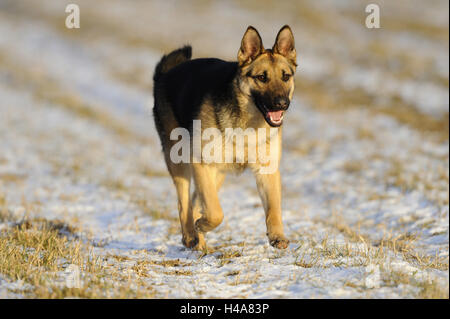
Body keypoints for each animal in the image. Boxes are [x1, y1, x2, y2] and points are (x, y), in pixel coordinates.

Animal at [153, 25, 298, 250]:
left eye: (285, 76)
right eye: (262, 77)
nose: (282, 104)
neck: (247, 124)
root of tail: (166, 74)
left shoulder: (267, 170)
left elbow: (273, 208)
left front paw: (277, 235)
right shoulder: (200, 162)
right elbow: (215, 212)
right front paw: (203, 225)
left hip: (217, 173)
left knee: (195, 203)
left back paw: (199, 241)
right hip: (180, 162)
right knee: (184, 203)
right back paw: (191, 235)